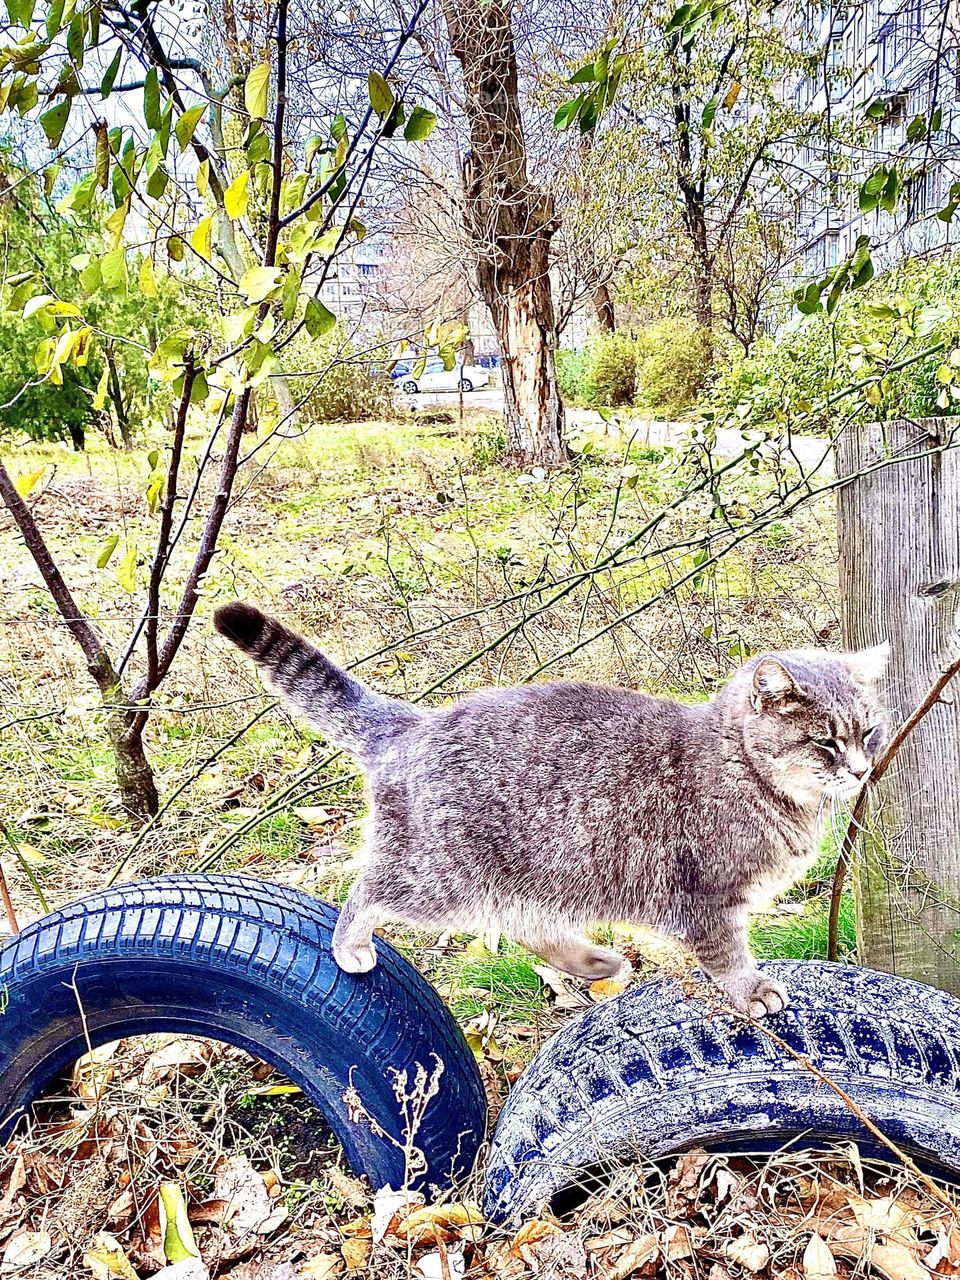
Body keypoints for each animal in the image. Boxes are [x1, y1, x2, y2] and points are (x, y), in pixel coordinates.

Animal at [213, 599, 890, 1018]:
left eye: (868, 733)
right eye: (825, 741)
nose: (860, 769)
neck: (746, 770)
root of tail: (416, 723)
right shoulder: (708, 903)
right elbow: (728, 959)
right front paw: (752, 991)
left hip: (532, 880)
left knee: (522, 929)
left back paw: (592, 960)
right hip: (440, 878)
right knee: (366, 892)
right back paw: (350, 943)